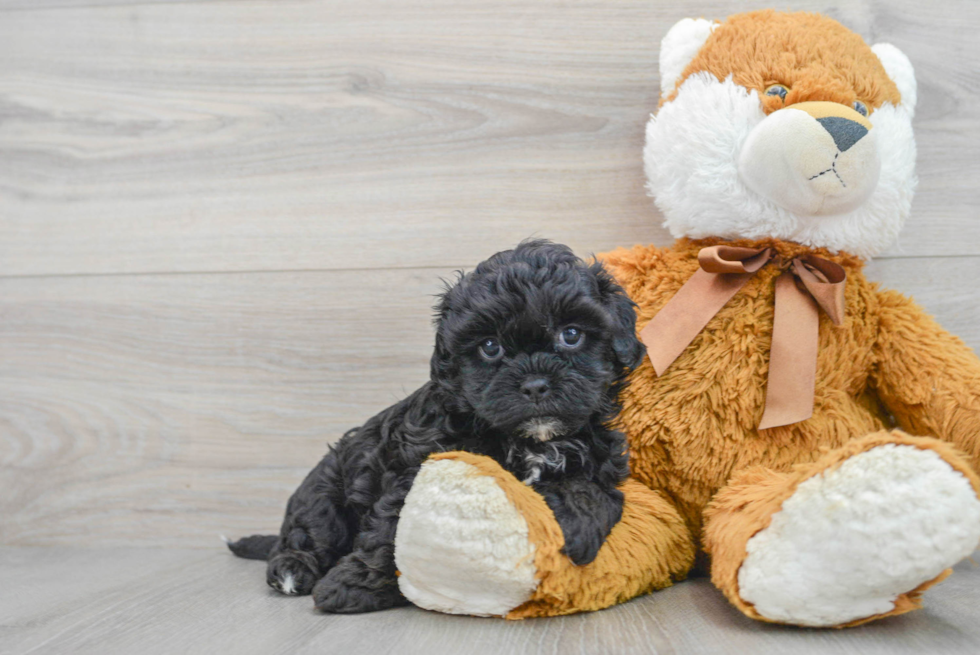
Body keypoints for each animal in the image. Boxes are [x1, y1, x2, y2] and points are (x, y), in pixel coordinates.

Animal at [228, 241, 644, 616]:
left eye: (571, 335)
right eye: (489, 347)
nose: (535, 385)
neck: (528, 439)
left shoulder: (601, 455)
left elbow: (591, 489)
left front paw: (577, 530)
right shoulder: (416, 464)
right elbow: (390, 530)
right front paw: (353, 585)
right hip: (325, 492)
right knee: (309, 533)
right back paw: (292, 568)